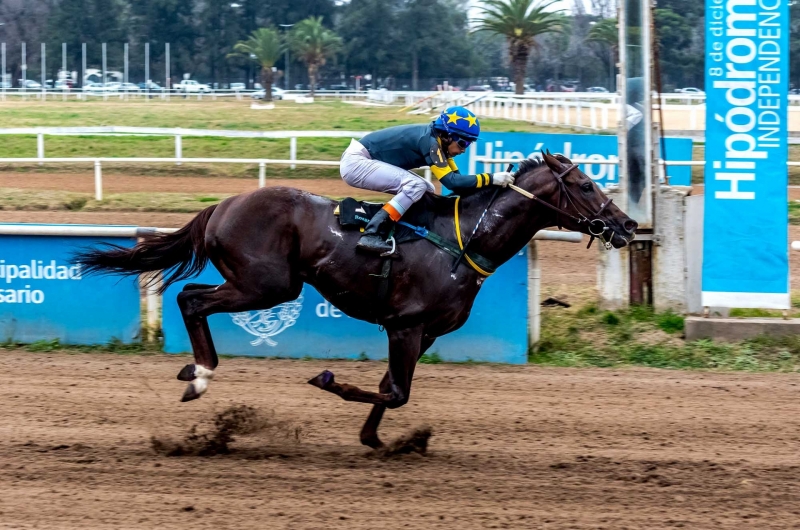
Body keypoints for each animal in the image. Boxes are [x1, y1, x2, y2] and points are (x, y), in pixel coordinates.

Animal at [75, 152, 636, 446]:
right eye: (586, 185)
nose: (629, 226)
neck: (463, 241)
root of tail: (224, 205)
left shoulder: (423, 332)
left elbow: (391, 388)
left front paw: (375, 439)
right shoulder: (406, 325)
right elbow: (396, 392)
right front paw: (329, 382)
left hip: (261, 284)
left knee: (190, 295)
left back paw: (193, 371)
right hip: (268, 285)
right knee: (192, 301)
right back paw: (201, 376)